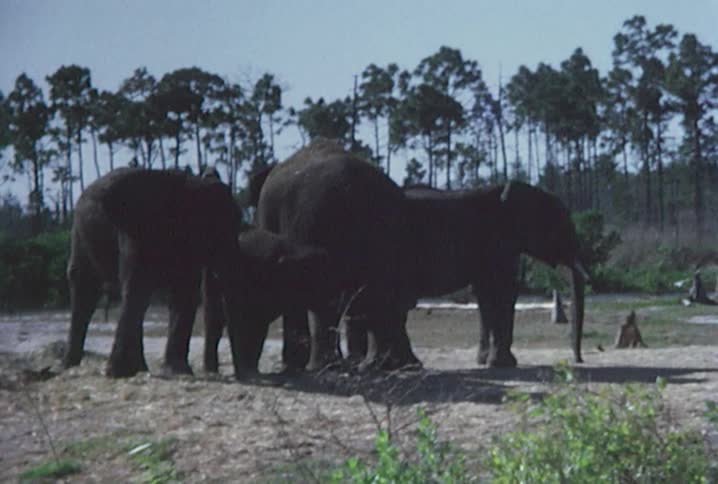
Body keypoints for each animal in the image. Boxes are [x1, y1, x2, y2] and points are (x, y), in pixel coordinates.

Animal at [64, 167, 328, 378]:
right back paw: (72, 366)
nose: (247, 375)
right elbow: (137, 287)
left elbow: (184, 295)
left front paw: (179, 371)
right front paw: (117, 373)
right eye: (209, 229)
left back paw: (139, 368)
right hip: (79, 229)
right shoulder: (136, 231)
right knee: (86, 286)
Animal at [248, 139, 587, 370]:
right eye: (560, 227)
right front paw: (502, 364)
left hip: (279, 219)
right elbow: (500, 292)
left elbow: (488, 294)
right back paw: (343, 367)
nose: (578, 359)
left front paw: (489, 363)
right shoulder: (497, 245)